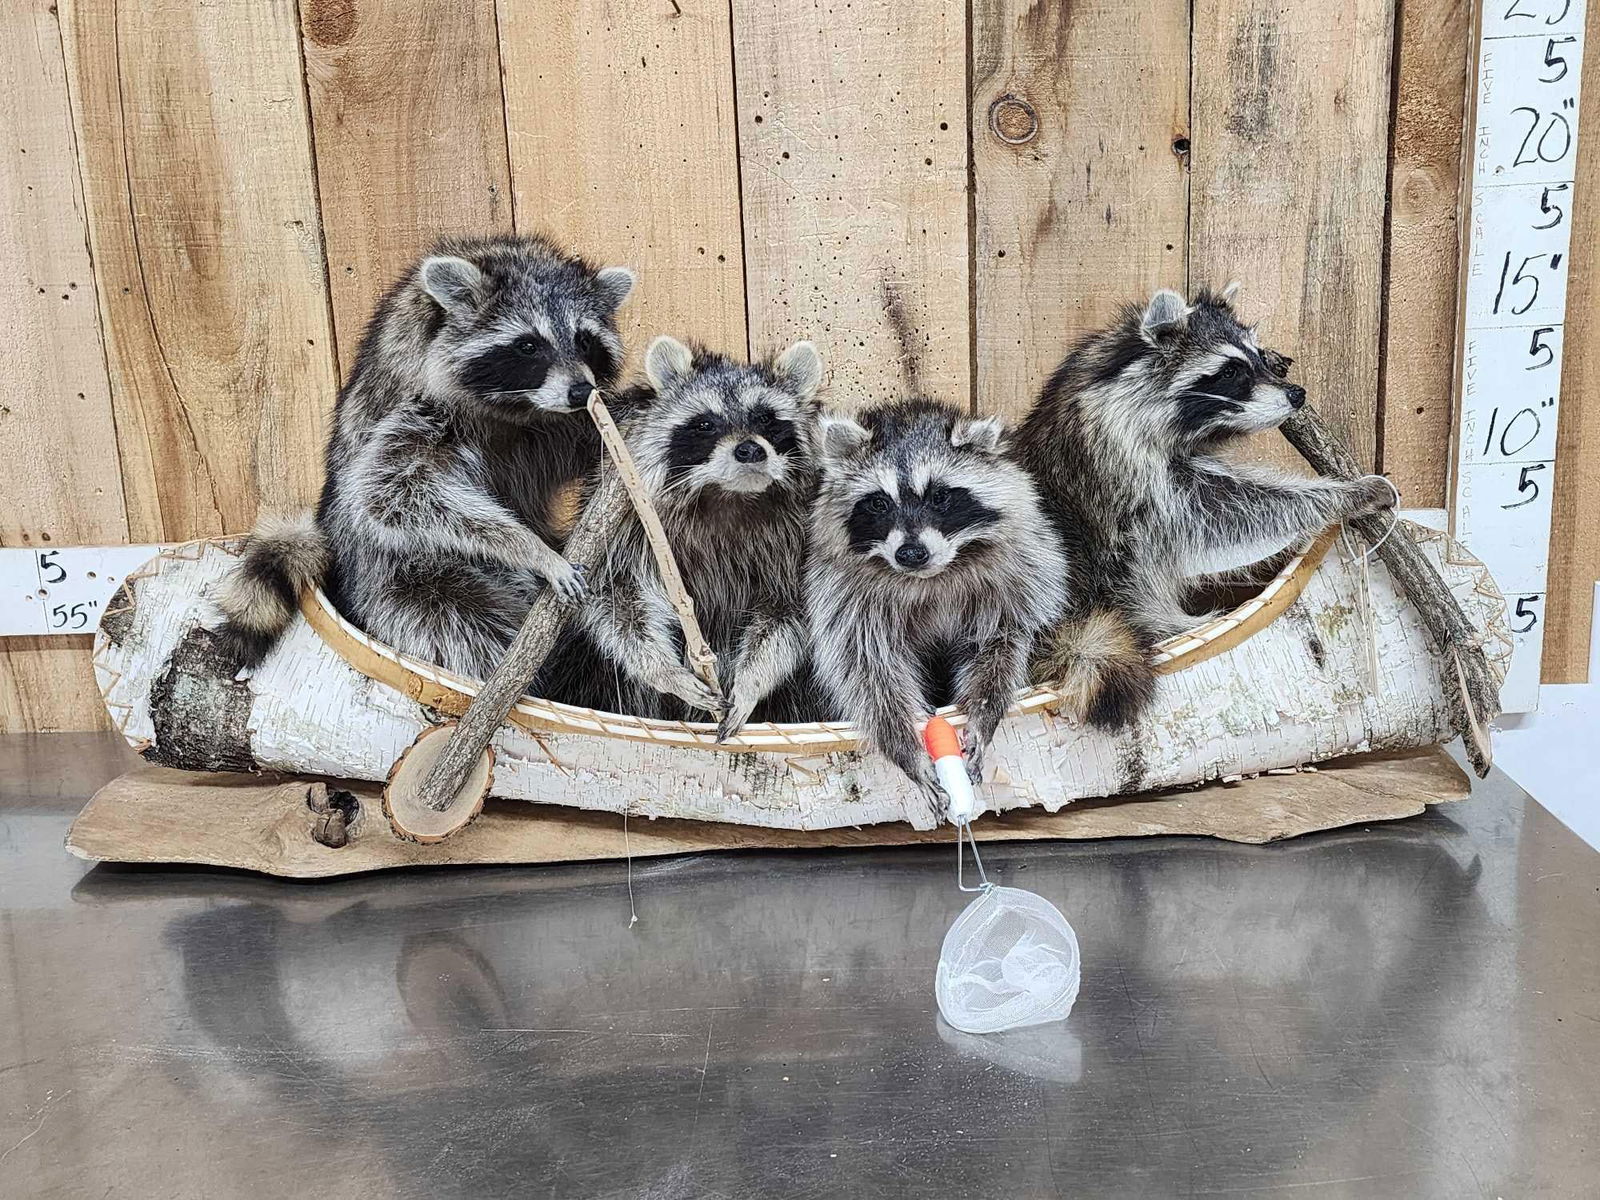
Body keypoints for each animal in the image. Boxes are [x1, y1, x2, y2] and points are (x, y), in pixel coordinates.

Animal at [214, 234, 636, 677]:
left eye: (585, 340)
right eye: (528, 345)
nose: (581, 391)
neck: (515, 407)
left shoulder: (542, 427)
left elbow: (572, 443)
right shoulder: (420, 412)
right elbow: (391, 490)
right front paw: (531, 548)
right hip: (398, 579)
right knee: (461, 621)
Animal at [550, 335, 825, 737]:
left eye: (767, 418)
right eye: (705, 423)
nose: (750, 450)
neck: (728, 496)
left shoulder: (804, 537)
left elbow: (786, 614)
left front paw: (752, 681)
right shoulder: (624, 518)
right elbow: (617, 600)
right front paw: (663, 669)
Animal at [807, 399, 1069, 817]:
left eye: (940, 497)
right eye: (879, 502)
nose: (910, 554)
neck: (931, 576)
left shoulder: (1017, 572)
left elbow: (998, 645)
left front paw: (983, 712)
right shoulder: (843, 595)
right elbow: (868, 671)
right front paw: (906, 748)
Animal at [1013, 285, 1394, 728]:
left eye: (1260, 357)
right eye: (1230, 371)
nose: (1297, 394)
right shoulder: (1121, 470)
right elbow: (1224, 510)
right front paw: (1342, 495)